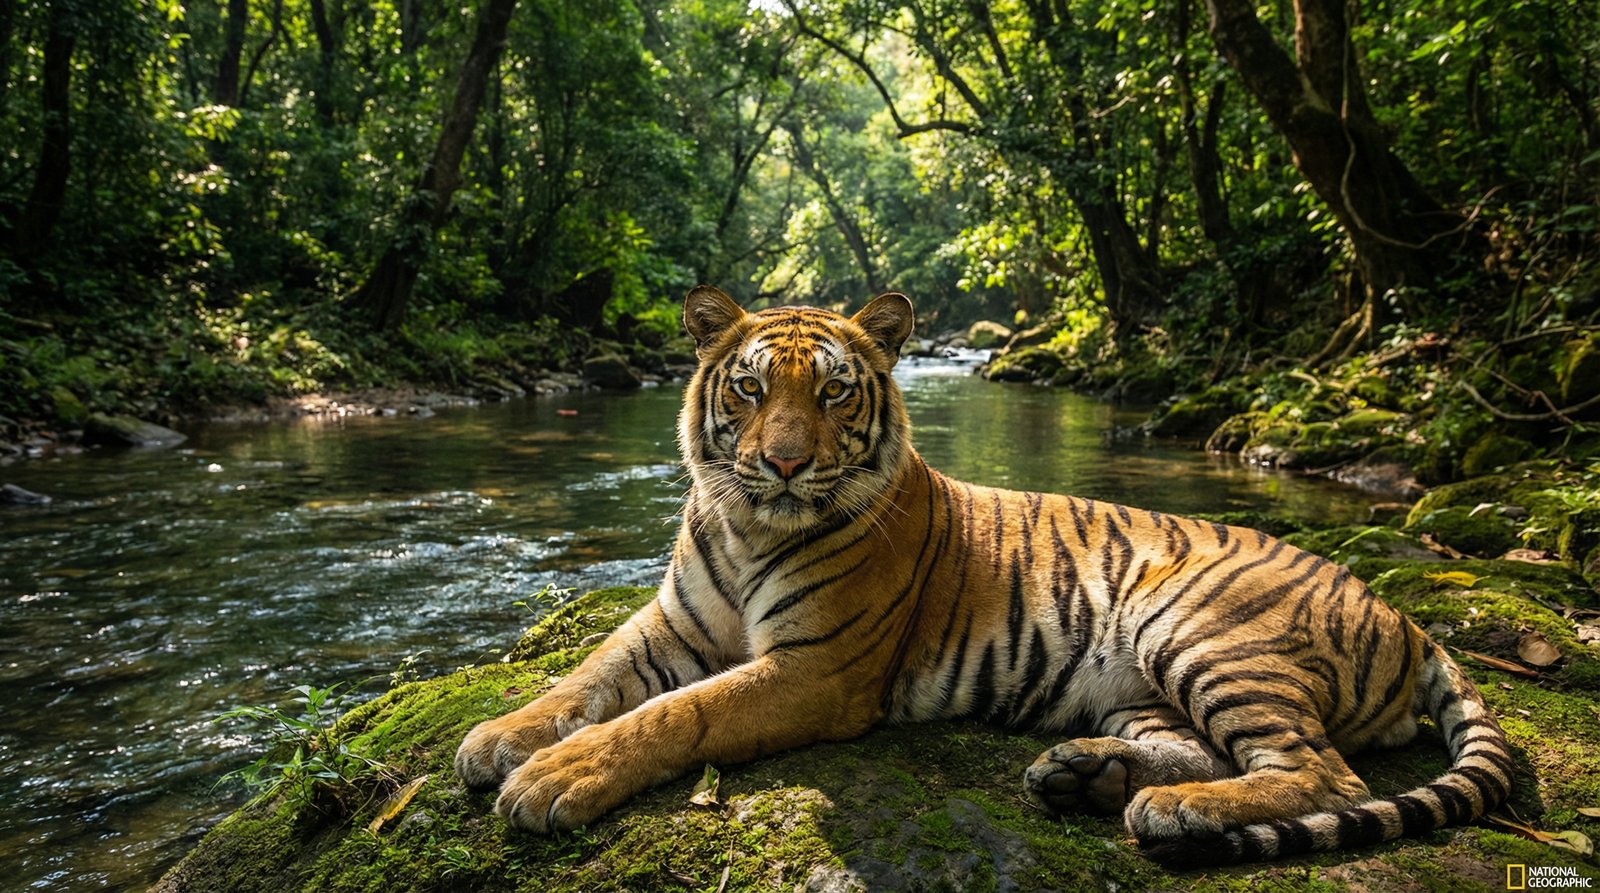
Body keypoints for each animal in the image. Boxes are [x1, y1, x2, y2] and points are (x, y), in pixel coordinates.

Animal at [454, 285, 1513, 866]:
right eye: (749, 388)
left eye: (834, 391)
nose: (785, 463)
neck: (749, 524)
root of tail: (1412, 618)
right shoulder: (673, 622)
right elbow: (591, 674)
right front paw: (500, 736)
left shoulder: (815, 670)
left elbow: (680, 713)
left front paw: (558, 775)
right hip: (1141, 684)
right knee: (1211, 750)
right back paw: (1087, 775)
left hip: (1197, 626)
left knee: (1319, 770)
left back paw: (1174, 811)